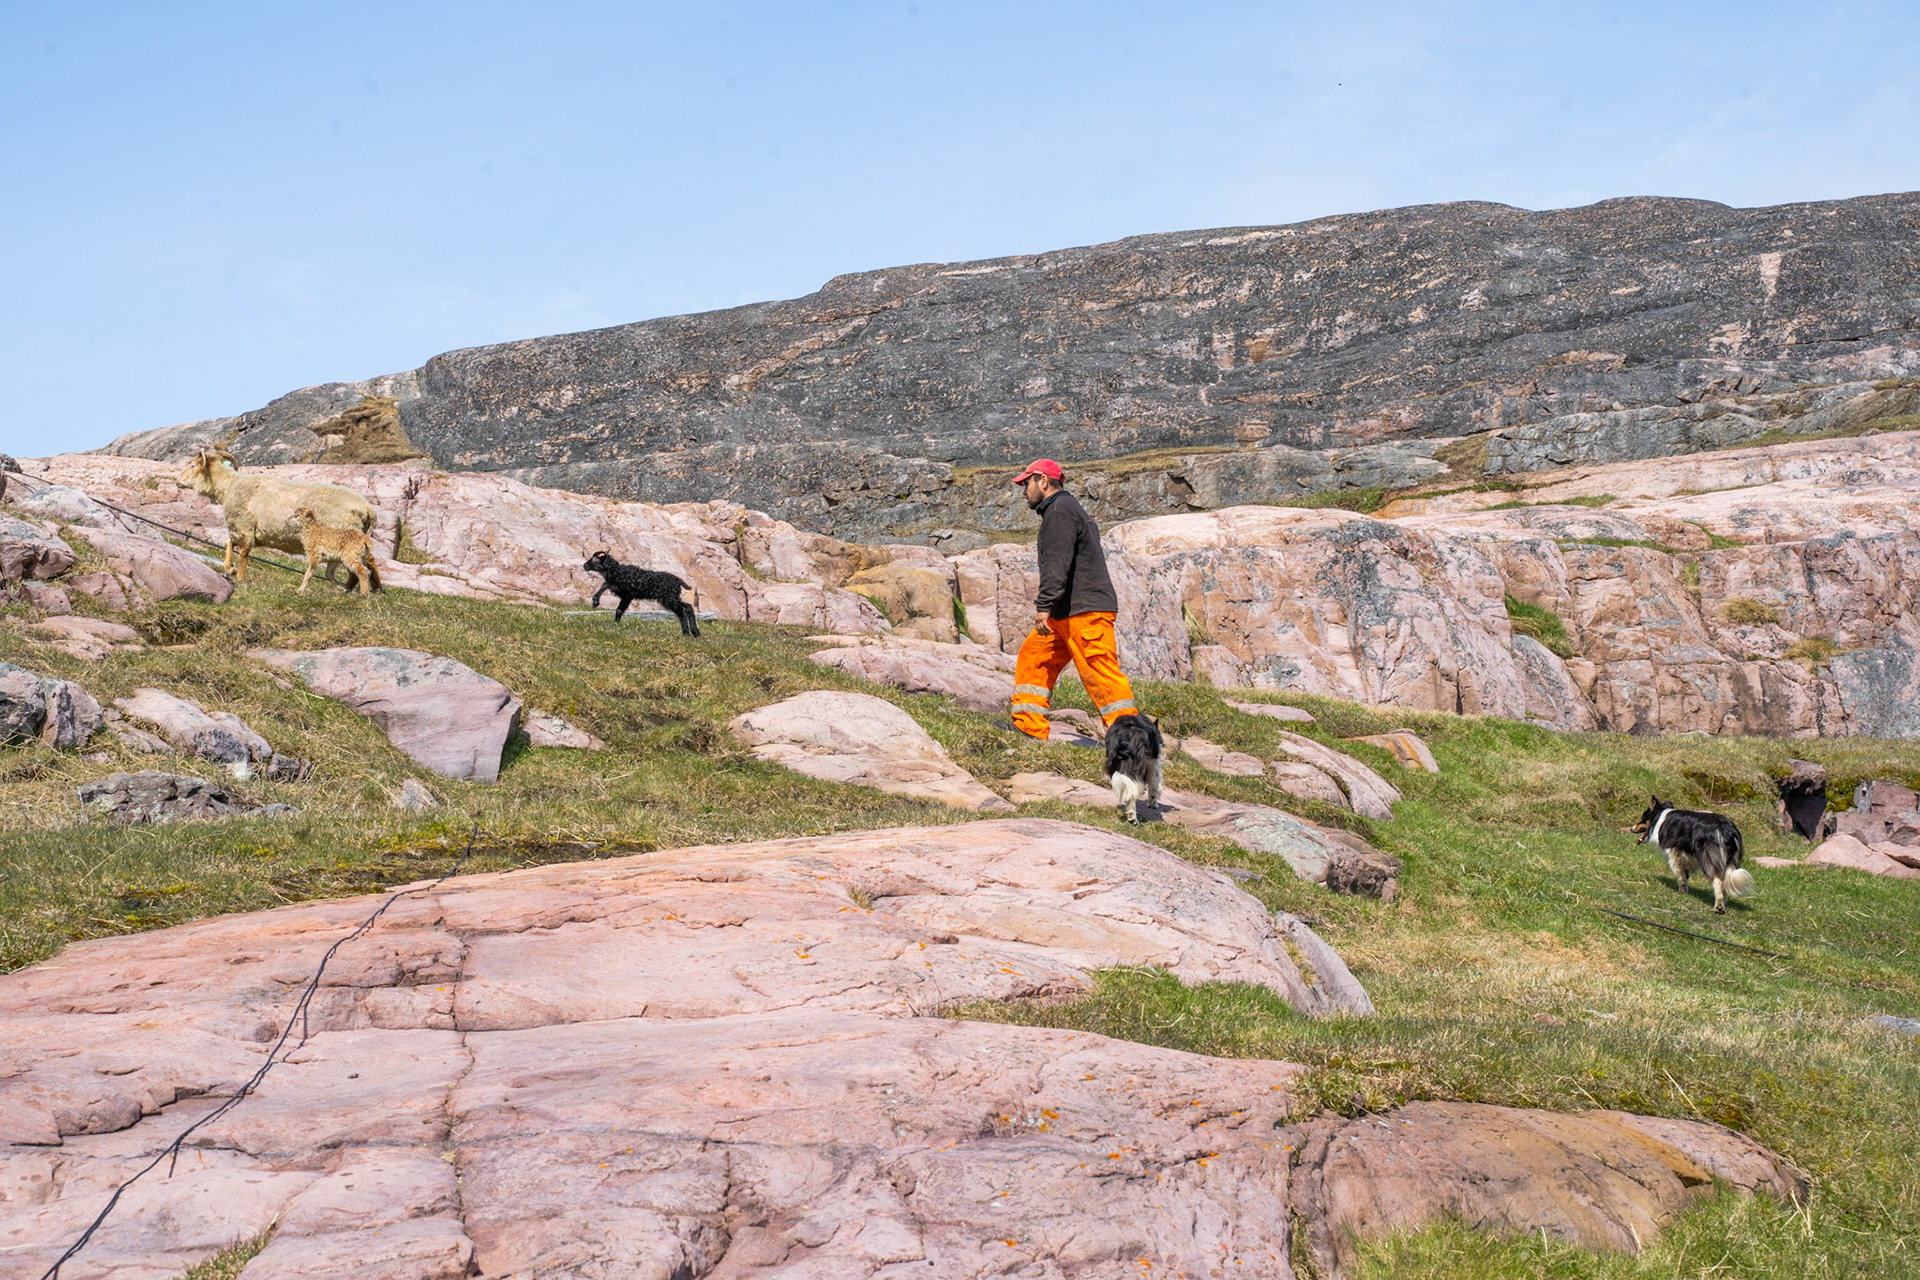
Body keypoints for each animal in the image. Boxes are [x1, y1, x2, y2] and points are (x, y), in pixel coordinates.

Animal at [177, 449, 377, 583]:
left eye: (192, 466)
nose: (177, 481)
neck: (230, 486)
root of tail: (368, 509)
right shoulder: (242, 529)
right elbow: (228, 543)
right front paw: (229, 567)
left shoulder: (244, 527)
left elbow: (243, 553)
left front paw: (239, 577)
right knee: (369, 563)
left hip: (344, 539)